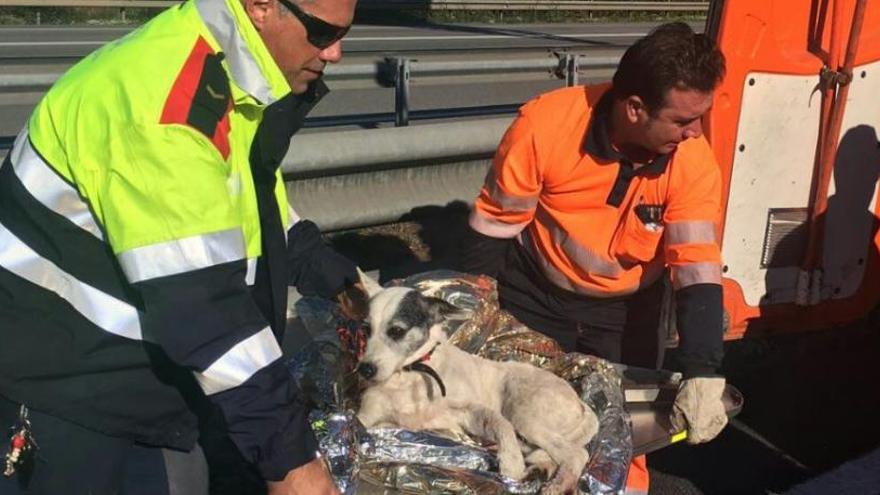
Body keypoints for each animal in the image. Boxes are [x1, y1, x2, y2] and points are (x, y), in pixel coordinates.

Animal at [346, 274, 600, 494]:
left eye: (397, 331)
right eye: (366, 330)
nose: (364, 369)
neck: (413, 373)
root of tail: (581, 405)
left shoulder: (472, 412)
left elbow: (501, 425)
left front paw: (511, 464)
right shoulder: (366, 416)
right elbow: (362, 426)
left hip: (523, 416)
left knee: (576, 454)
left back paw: (558, 484)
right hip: (530, 436)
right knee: (553, 453)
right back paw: (542, 469)